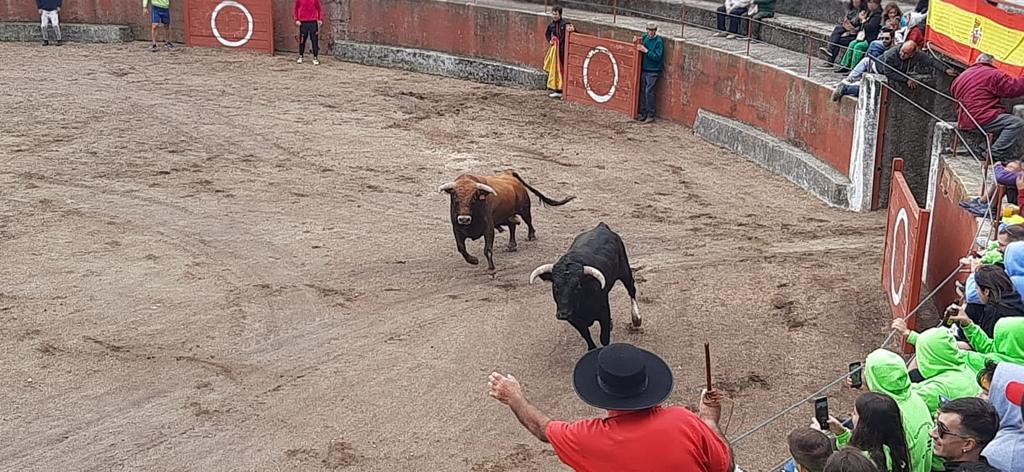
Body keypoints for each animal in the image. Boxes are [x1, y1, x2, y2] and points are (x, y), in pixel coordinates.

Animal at [436, 170, 573, 270]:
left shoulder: (489, 228)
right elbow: (461, 248)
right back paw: (512, 245)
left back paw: (531, 236)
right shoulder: (457, 229)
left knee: (528, 220)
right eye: (455, 197)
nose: (464, 219)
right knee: (513, 225)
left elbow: (487, 250)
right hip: (503, 217)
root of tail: (509, 173)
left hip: (524, 208)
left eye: (474, 198)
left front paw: (491, 269)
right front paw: (474, 260)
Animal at [528, 222, 638, 350]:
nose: (563, 314)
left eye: (578, 286)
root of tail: (601, 226)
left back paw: (636, 319)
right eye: (555, 285)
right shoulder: (574, 319)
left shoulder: (603, 313)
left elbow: (604, 338)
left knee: (631, 290)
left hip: (624, 271)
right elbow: (586, 335)